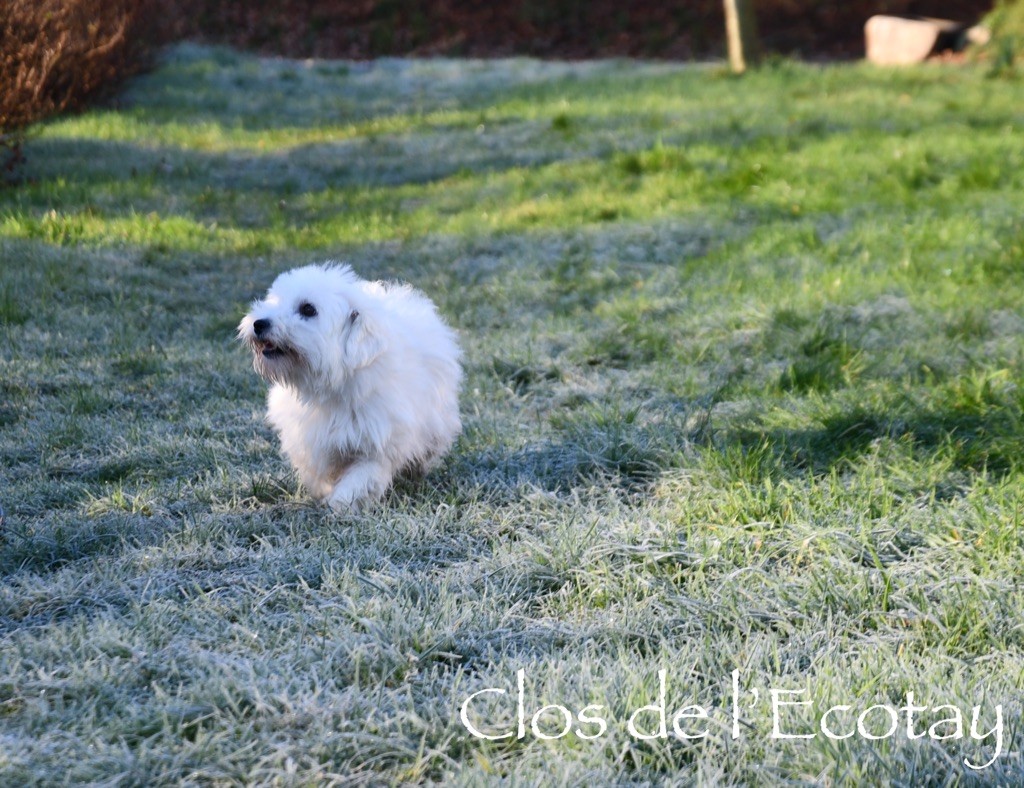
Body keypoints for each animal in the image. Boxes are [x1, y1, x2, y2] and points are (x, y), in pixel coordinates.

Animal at [237, 264, 462, 509]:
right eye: (275, 300)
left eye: (308, 309)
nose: (259, 323)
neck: (332, 383)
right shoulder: (308, 439)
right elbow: (318, 471)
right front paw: (325, 494)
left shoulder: (378, 443)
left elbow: (360, 479)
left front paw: (339, 503)